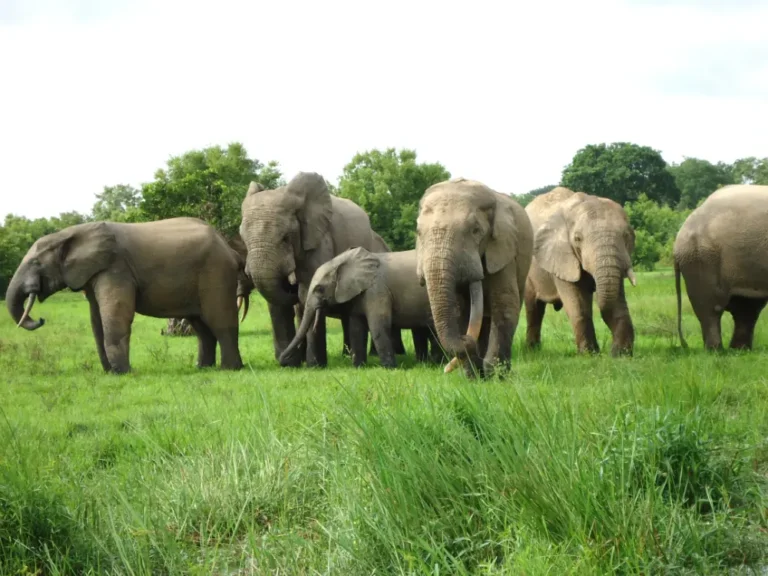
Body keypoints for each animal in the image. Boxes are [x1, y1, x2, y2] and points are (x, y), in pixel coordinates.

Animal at [6, 217, 244, 373]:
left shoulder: (116, 267)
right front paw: (110, 373)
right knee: (201, 326)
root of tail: (228, 248)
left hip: (216, 272)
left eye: (36, 263)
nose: (40, 319)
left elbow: (116, 314)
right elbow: (96, 320)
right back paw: (203, 368)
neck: (69, 234)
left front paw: (122, 372)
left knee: (219, 321)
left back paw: (229, 369)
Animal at [239, 171, 385, 367]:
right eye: (242, 238)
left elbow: (307, 291)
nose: (282, 360)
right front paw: (290, 365)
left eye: (286, 237)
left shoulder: (319, 240)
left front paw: (314, 365)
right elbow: (277, 302)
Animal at [279, 247, 444, 369]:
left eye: (319, 289)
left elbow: (378, 325)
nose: (283, 361)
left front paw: (390, 368)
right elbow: (356, 328)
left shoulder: (376, 289)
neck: (343, 262)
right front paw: (359, 367)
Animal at [415, 177, 534, 378]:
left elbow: (504, 306)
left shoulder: (503, 251)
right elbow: (460, 310)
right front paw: (474, 377)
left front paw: (496, 376)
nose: (465, 339)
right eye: (418, 232)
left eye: (476, 231)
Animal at [523, 187, 637, 356]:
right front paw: (589, 354)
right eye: (577, 239)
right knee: (534, 309)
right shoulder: (561, 258)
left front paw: (621, 354)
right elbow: (578, 304)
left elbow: (617, 301)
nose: (612, 350)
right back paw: (532, 351)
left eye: (626, 235)